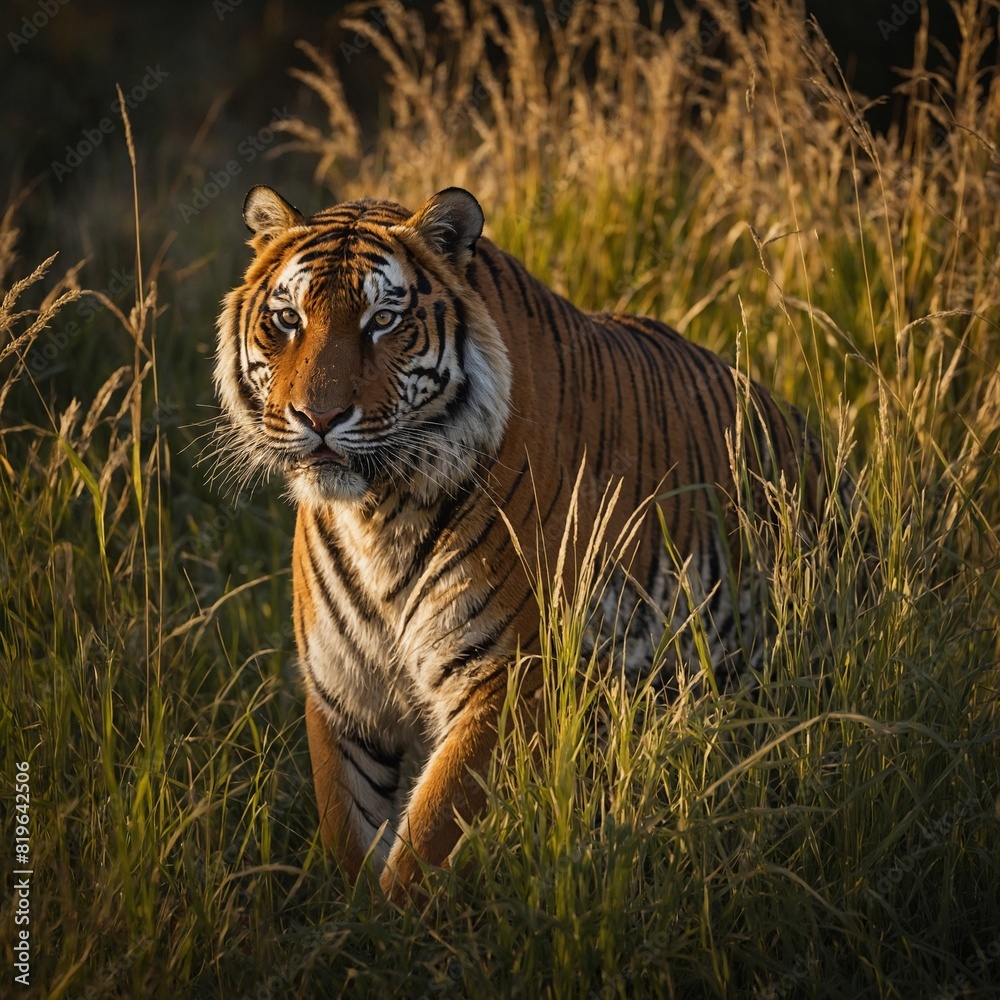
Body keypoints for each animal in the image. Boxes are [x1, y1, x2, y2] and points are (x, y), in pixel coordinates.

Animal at [214, 184, 849, 903]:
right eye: (287, 319)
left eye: (383, 321)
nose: (317, 418)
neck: (380, 512)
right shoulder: (344, 693)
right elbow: (347, 834)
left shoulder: (509, 675)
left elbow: (430, 832)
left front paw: (395, 921)